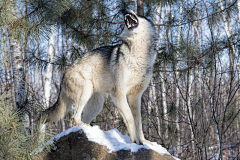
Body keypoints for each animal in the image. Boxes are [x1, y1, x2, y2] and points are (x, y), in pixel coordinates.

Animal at [41, 8, 158, 144]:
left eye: (139, 14)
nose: (123, 9)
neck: (139, 55)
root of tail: (63, 74)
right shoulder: (119, 94)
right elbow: (130, 119)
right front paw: (134, 142)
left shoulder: (135, 96)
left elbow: (138, 122)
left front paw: (144, 141)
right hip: (86, 91)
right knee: (75, 117)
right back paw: (88, 127)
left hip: (97, 105)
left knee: (77, 120)